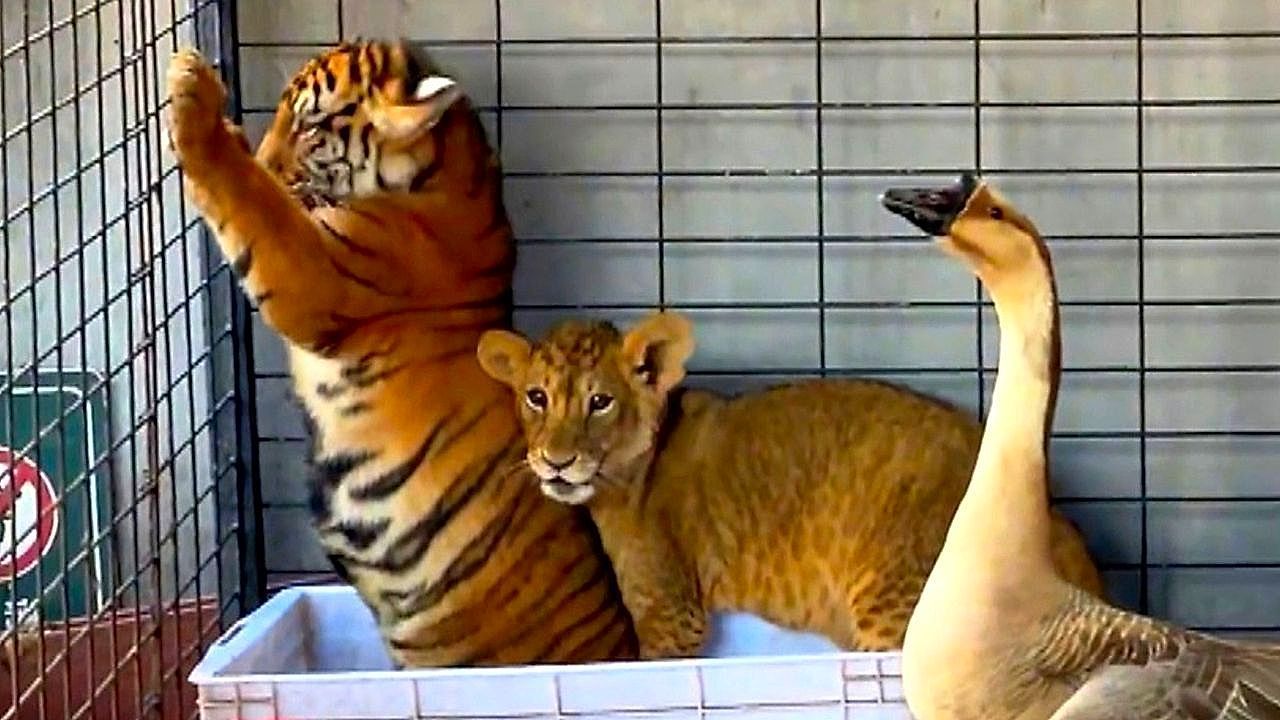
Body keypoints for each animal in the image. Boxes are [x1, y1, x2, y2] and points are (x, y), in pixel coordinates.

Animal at [163, 40, 637, 667]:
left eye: (310, 126)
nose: (268, 159)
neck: (451, 165)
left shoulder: (315, 275)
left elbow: (249, 198)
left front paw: (193, 93)